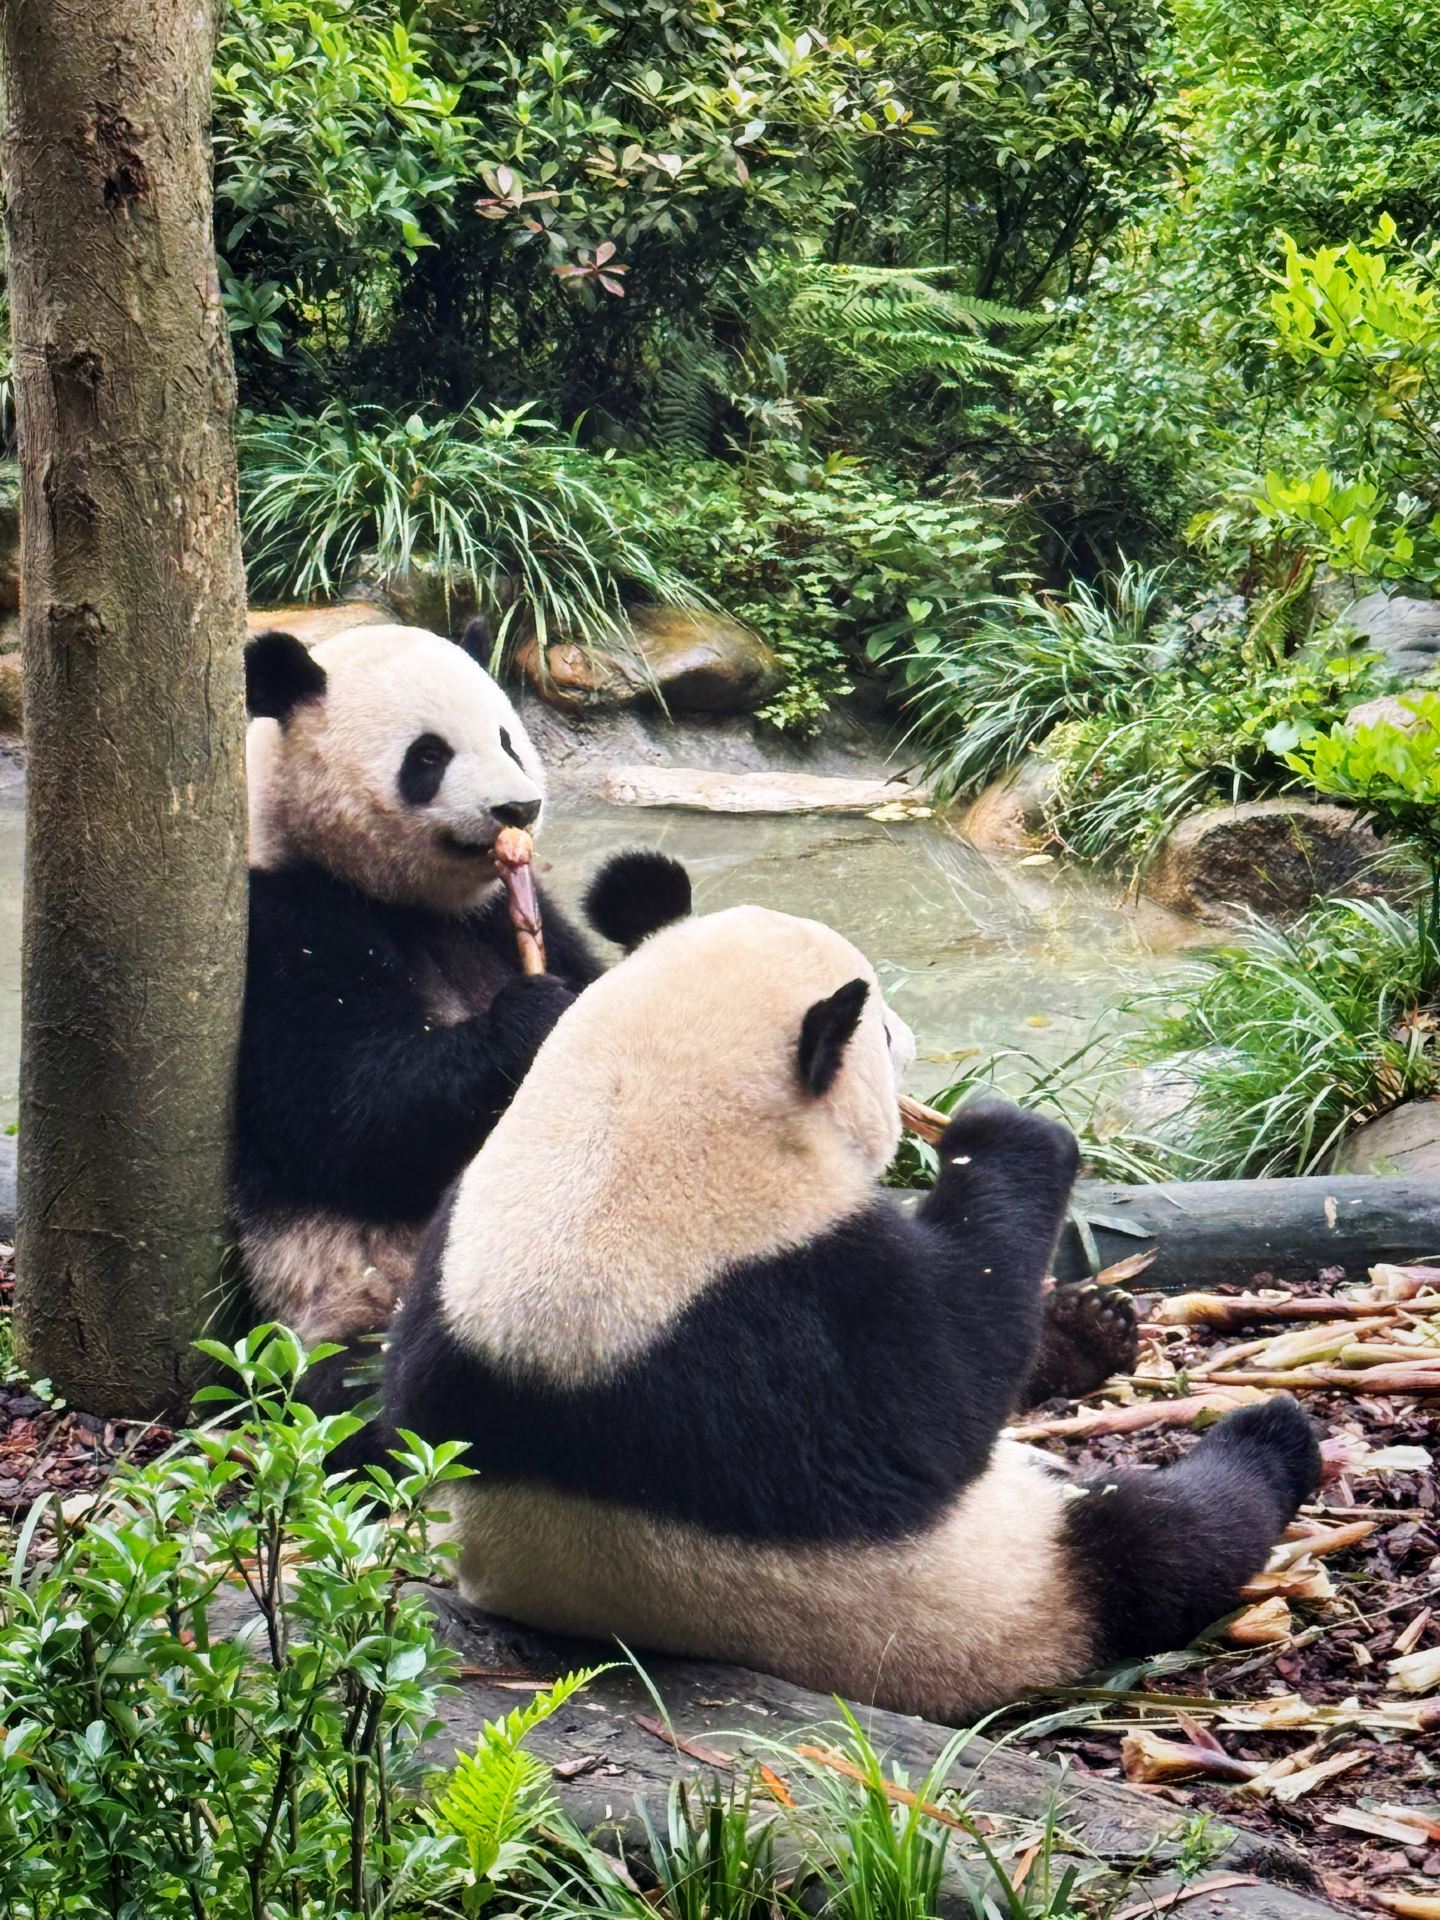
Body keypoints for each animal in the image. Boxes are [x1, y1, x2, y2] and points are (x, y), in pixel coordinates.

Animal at [235, 618, 604, 1353]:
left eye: (506, 738)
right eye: (428, 756)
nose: (519, 806)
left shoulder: (501, 917)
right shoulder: (283, 922)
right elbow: (350, 1108)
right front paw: (535, 1018)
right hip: (350, 1301)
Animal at [385, 854, 1322, 1722]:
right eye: (882, 1036)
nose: (906, 1035)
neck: (623, 1118)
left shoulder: (447, 1252)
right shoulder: (788, 1305)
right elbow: (944, 1390)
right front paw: (1006, 1132)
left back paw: (1090, 1332)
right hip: (995, 1593)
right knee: (1159, 1540)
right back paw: (1267, 1438)